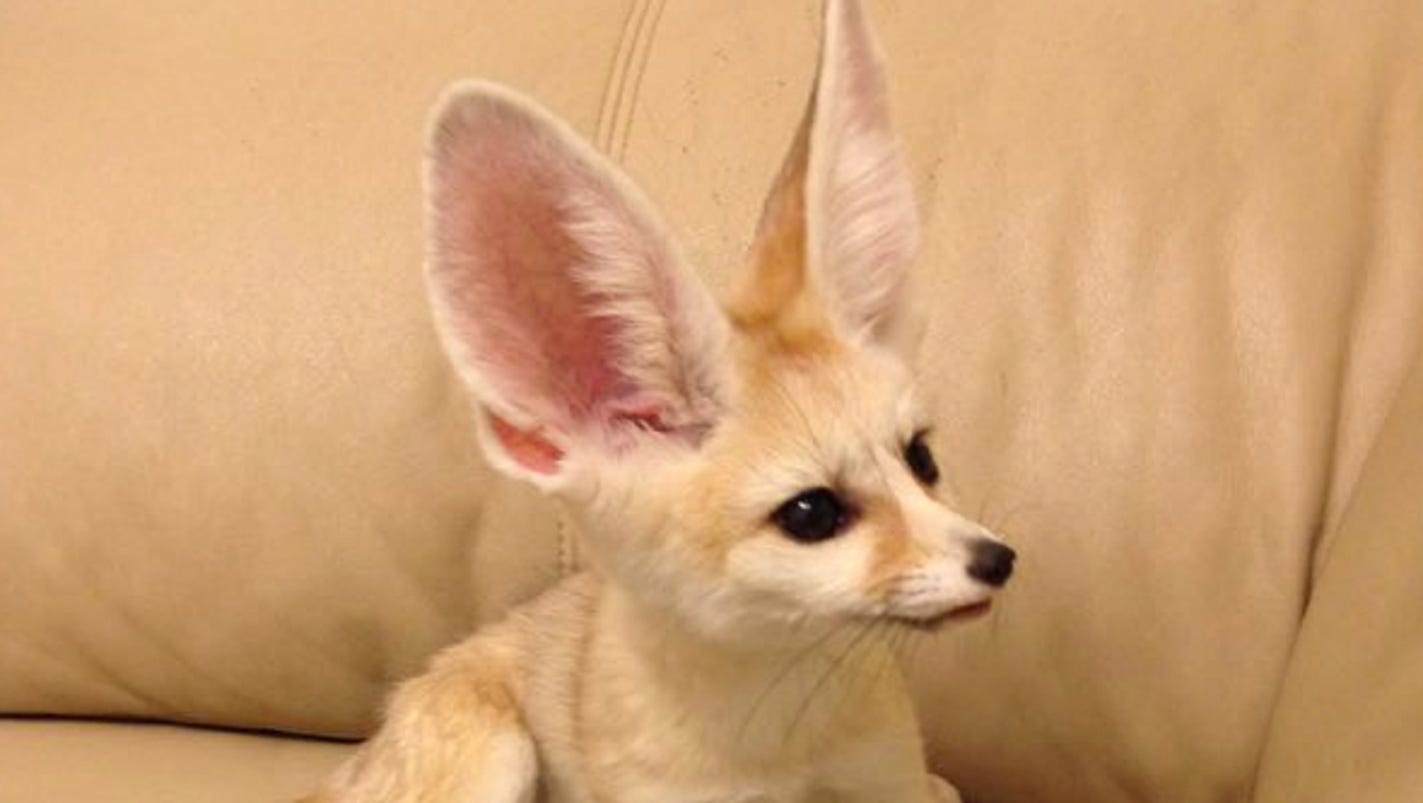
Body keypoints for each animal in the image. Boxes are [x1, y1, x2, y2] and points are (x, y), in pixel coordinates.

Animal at [307, 1, 1016, 800]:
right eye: (811, 513)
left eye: (920, 459)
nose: (996, 559)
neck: (782, 746)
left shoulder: (906, 783)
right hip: (495, 751)